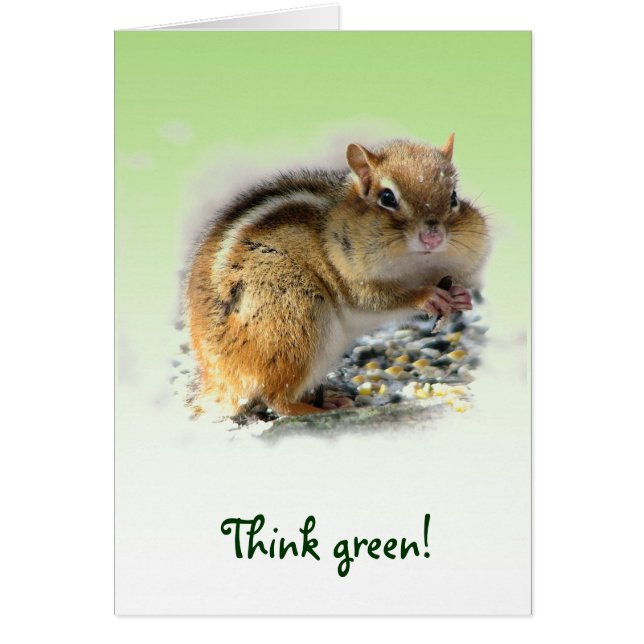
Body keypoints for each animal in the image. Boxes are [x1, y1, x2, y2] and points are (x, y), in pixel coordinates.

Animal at [186, 135, 490, 417]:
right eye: (387, 198)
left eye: (453, 197)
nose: (432, 238)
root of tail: (219, 381)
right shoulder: (351, 277)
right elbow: (377, 300)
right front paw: (427, 296)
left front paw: (460, 296)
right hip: (292, 314)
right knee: (276, 399)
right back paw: (314, 410)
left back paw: (327, 399)